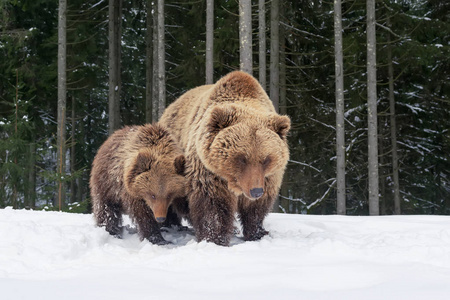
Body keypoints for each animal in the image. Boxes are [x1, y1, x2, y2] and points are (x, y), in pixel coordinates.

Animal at [160, 71, 290, 246]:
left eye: (266, 159)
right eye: (242, 158)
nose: (255, 191)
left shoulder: (268, 178)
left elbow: (256, 209)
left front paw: (257, 233)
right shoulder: (209, 171)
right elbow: (212, 205)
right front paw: (214, 238)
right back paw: (171, 224)